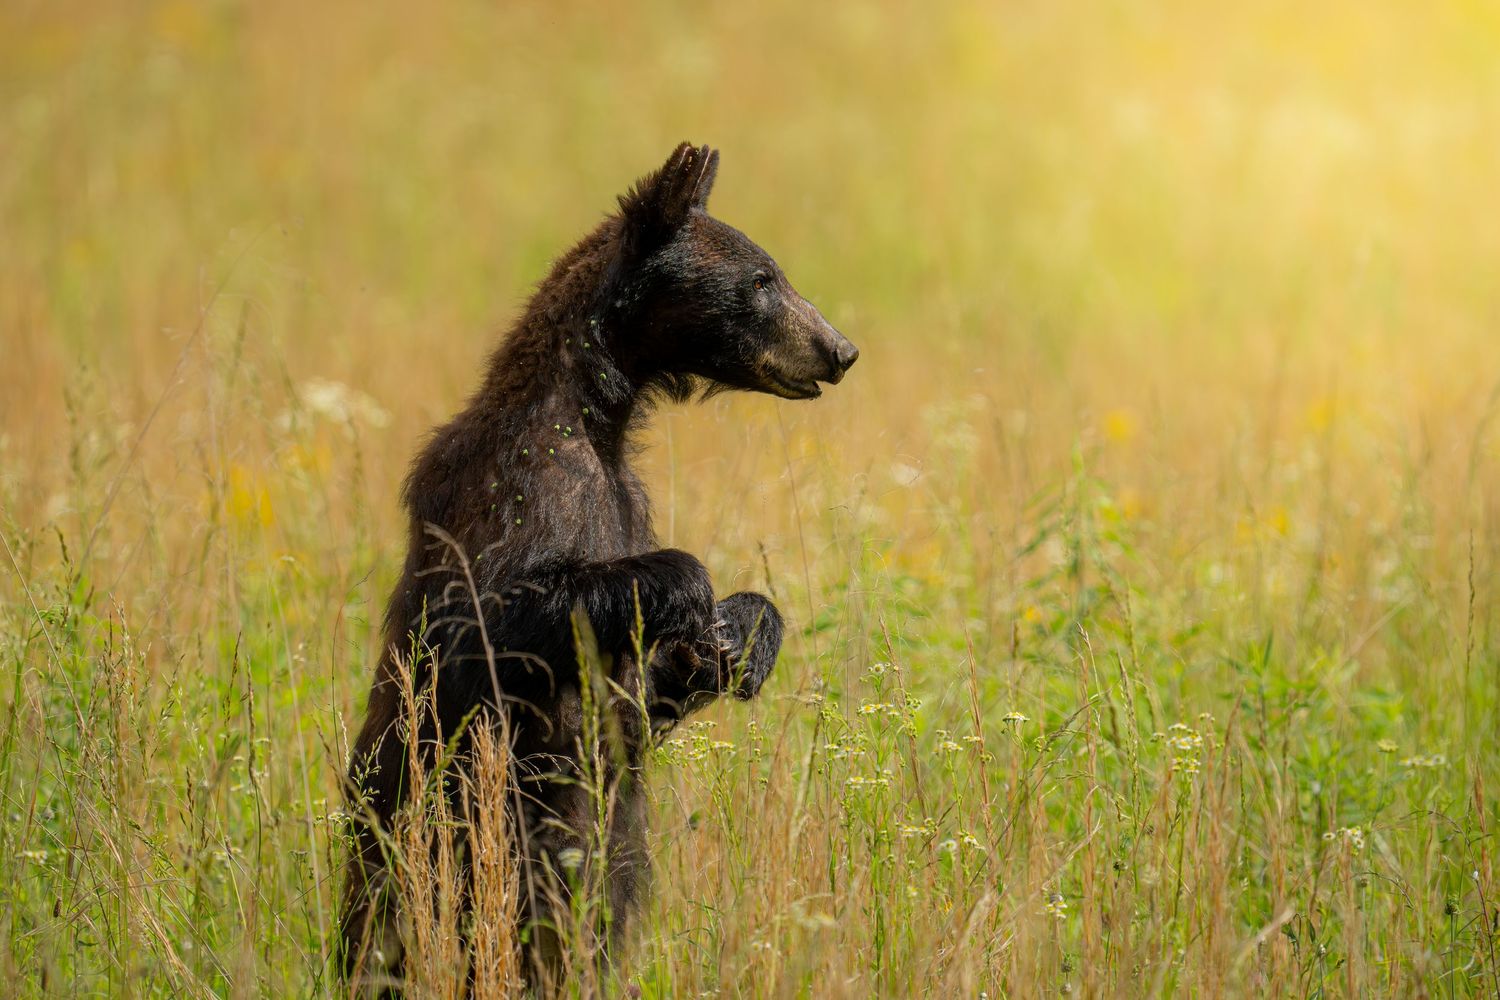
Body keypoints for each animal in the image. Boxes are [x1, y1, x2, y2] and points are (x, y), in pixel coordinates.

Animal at [340, 142, 858, 994]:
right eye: (762, 280)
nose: (840, 349)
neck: (598, 411)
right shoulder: (523, 480)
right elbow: (476, 626)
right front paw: (686, 583)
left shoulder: (625, 496)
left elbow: (642, 695)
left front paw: (741, 632)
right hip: (443, 837)